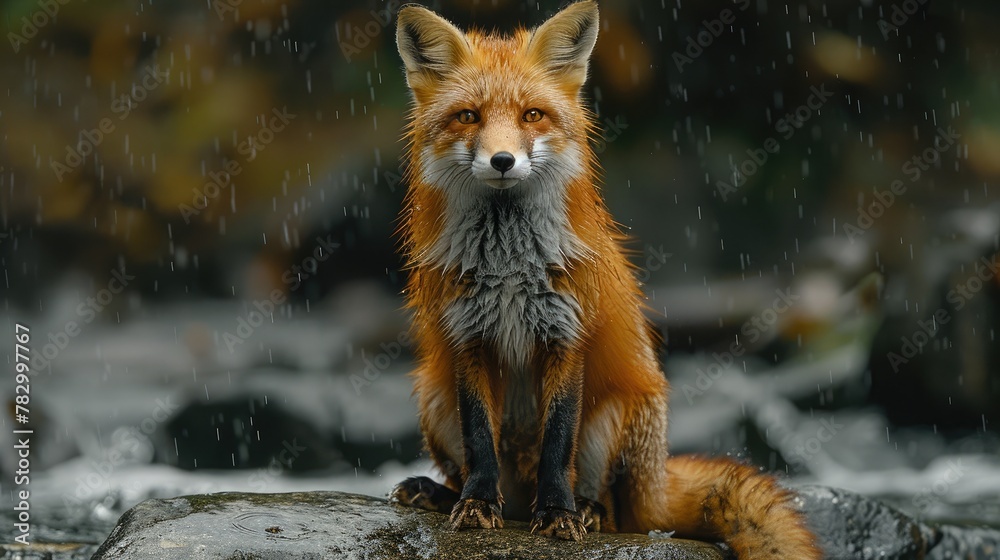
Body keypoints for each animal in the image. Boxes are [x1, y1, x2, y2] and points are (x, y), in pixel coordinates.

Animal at [388, 1, 822, 558]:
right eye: (468, 116)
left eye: (532, 115)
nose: (503, 160)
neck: (507, 267)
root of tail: (655, 483)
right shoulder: (468, 336)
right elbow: (480, 441)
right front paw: (476, 505)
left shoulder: (567, 333)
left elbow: (557, 444)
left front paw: (558, 515)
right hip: (434, 396)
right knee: (489, 481)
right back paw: (445, 495)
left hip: (617, 415)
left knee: (614, 512)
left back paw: (587, 511)